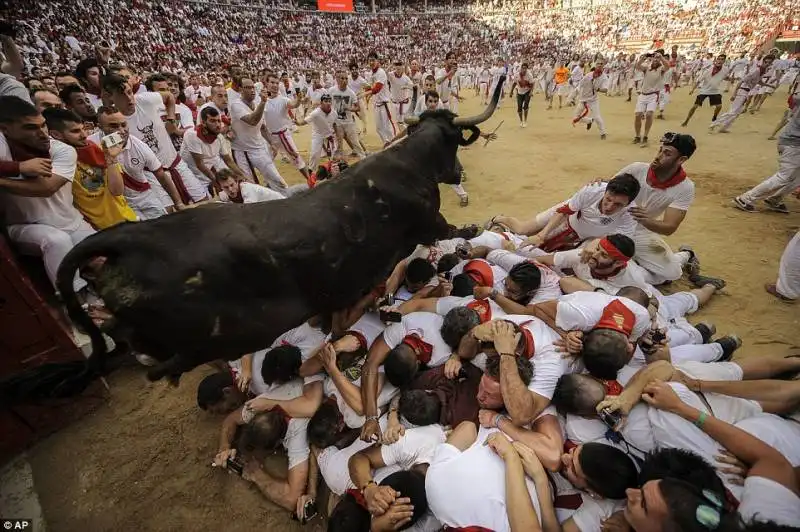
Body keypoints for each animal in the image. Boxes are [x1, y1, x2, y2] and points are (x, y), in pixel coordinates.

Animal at [0, 78, 500, 404]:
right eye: (453, 141)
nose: (457, 173)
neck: (406, 165)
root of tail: (129, 237)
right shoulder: (429, 222)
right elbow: (455, 230)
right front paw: (474, 229)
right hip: (216, 333)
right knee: (156, 357)